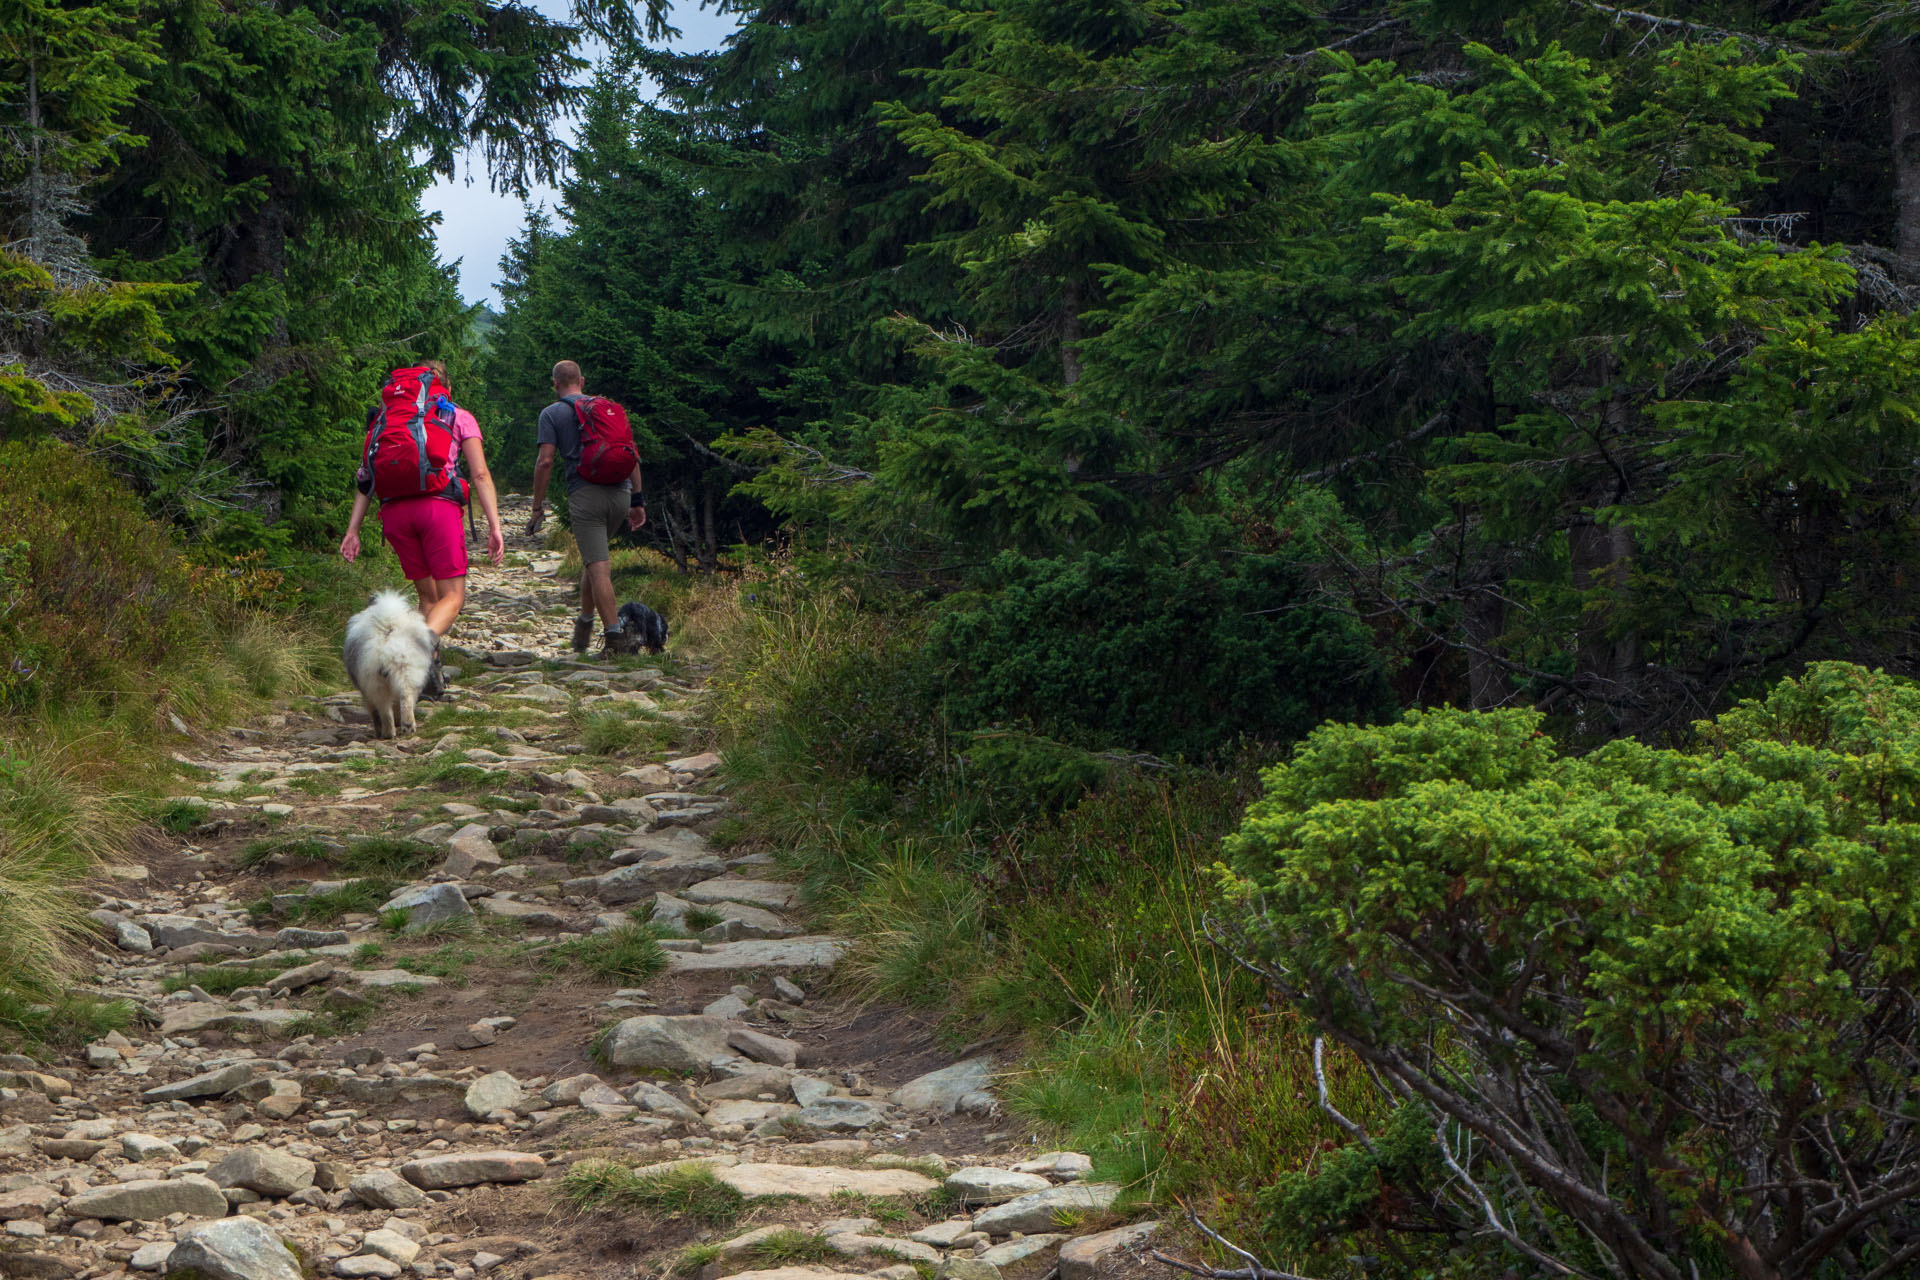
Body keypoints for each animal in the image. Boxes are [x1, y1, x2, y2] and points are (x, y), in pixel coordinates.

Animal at [345, 594, 439, 740]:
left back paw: (387, 734)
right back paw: (408, 727)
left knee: (385, 712)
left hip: (376, 684)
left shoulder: (366, 694)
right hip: (408, 674)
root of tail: (388, 632)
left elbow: (375, 713)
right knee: (406, 701)